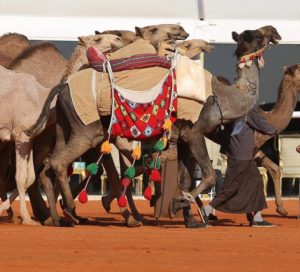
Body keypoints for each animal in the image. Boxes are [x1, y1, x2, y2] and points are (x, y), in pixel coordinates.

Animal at [24, 25, 282, 226]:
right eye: (257, 36)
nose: (275, 32)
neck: (223, 97)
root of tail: (63, 86)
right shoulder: (195, 131)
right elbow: (208, 175)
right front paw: (179, 205)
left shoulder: (183, 138)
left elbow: (185, 179)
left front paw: (188, 216)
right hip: (87, 130)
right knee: (59, 163)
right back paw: (71, 210)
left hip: (65, 127)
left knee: (48, 167)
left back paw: (59, 219)